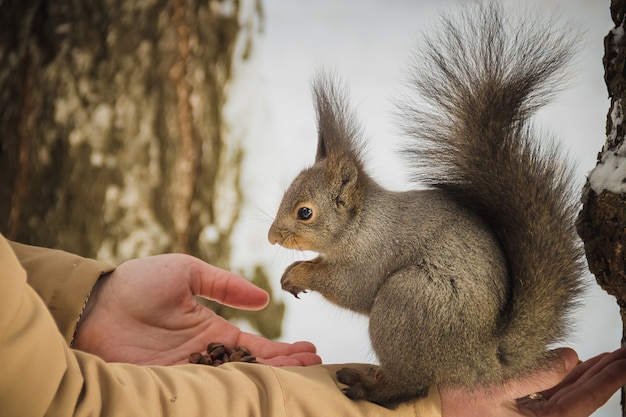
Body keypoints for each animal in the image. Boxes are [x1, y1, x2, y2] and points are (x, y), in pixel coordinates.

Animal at [266, 1, 584, 406]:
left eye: (305, 213)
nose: (272, 238)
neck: (361, 224)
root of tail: (477, 358)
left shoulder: (374, 256)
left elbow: (352, 288)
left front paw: (299, 274)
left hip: (405, 305)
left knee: (409, 384)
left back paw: (368, 386)